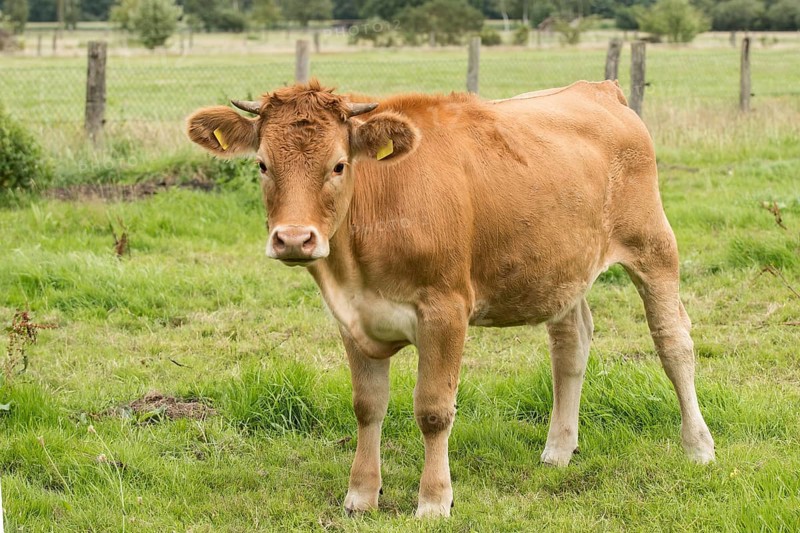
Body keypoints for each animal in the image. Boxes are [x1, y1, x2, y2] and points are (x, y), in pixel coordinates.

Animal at [186, 79, 715, 518]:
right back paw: (559, 449)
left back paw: (698, 446)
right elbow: (367, 406)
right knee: (571, 346)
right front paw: (361, 495)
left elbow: (434, 410)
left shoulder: (445, 310)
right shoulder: (352, 317)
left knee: (673, 343)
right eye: (263, 165)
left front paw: (434, 500)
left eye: (338, 165)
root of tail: (598, 89)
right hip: (563, 269)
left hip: (653, 244)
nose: (294, 239)